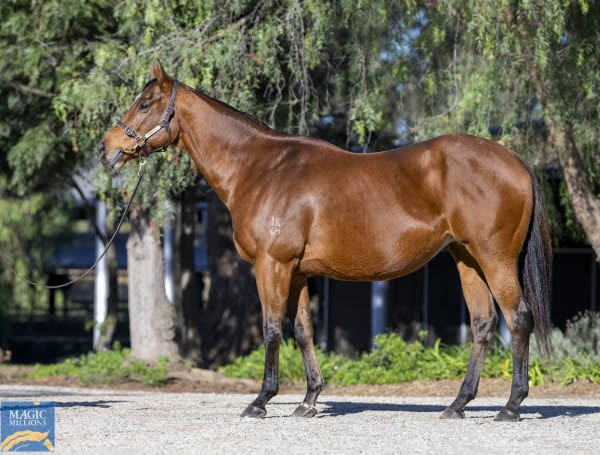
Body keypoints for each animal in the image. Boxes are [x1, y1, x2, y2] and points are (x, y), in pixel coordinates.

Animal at [99, 62, 552, 422]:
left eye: (144, 104)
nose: (107, 150)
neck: (260, 169)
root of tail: (515, 162)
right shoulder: (297, 272)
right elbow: (302, 331)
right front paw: (309, 400)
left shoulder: (272, 266)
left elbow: (271, 330)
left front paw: (261, 401)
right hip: (466, 259)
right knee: (483, 325)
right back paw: (458, 404)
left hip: (494, 259)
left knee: (518, 319)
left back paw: (511, 407)